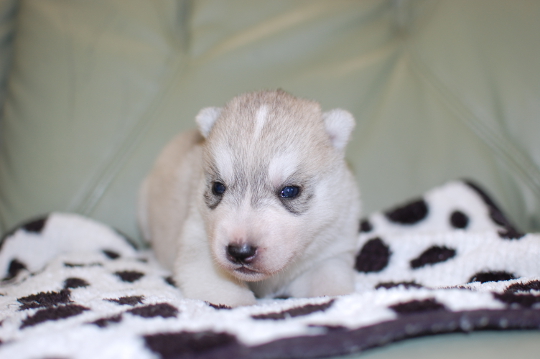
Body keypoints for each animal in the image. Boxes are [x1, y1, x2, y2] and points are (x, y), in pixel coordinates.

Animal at [138, 90, 358, 306]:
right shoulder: (197, 241)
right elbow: (228, 294)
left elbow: (329, 281)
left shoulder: (332, 249)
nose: (240, 251)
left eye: (290, 191)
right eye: (218, 187)